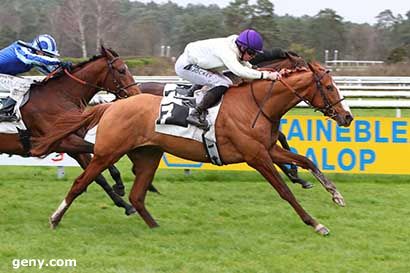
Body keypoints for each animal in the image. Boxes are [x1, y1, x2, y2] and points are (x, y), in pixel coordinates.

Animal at [0, 45, 139, 215]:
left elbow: (98, 177)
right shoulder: (64, 142)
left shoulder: (73, 147)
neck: (61, 96)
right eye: (121, 70)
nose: (137, 94)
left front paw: (125, 204)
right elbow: (99, 154)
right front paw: (119, 186)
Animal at [32, 61, 352, 234]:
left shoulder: (269, 149)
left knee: (137, 195)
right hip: (107, 152)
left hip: (148, 155)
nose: (347, 117)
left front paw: (336, 195)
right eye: (329, 87)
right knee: (81, 183)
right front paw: (315, 223)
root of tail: (112, 105)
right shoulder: (256, 156)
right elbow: (284, 190)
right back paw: (55, 218)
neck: (256, 105)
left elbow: (306, 161)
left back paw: (156, 227)